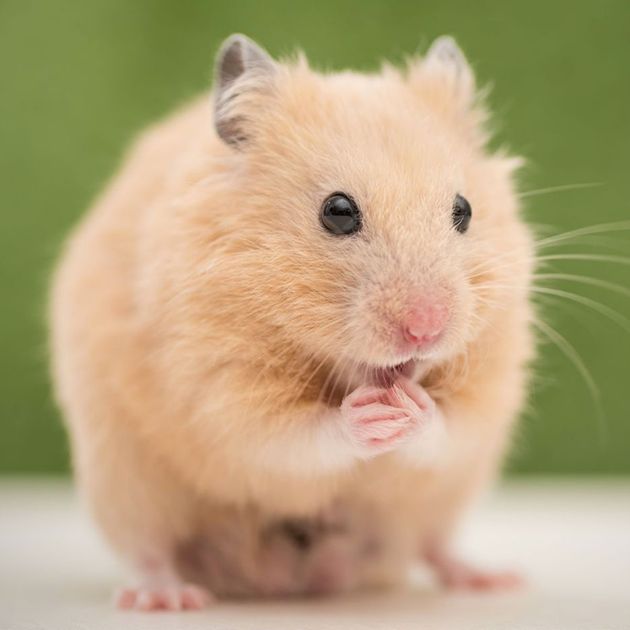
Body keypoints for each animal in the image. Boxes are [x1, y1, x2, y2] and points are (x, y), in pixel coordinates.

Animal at [49, 33, 536, 612]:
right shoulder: (218, 388)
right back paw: (167, 598)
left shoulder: (491, 386)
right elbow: (291, 437)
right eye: (338, 211)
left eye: (464, 209)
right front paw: (370, 415)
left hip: (444, 499)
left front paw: (411, 409)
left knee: (432, 544)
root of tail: (288, 577)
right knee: (148, 549)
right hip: (123, 479)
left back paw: (491, 578)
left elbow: (450, 427)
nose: (426, 329)